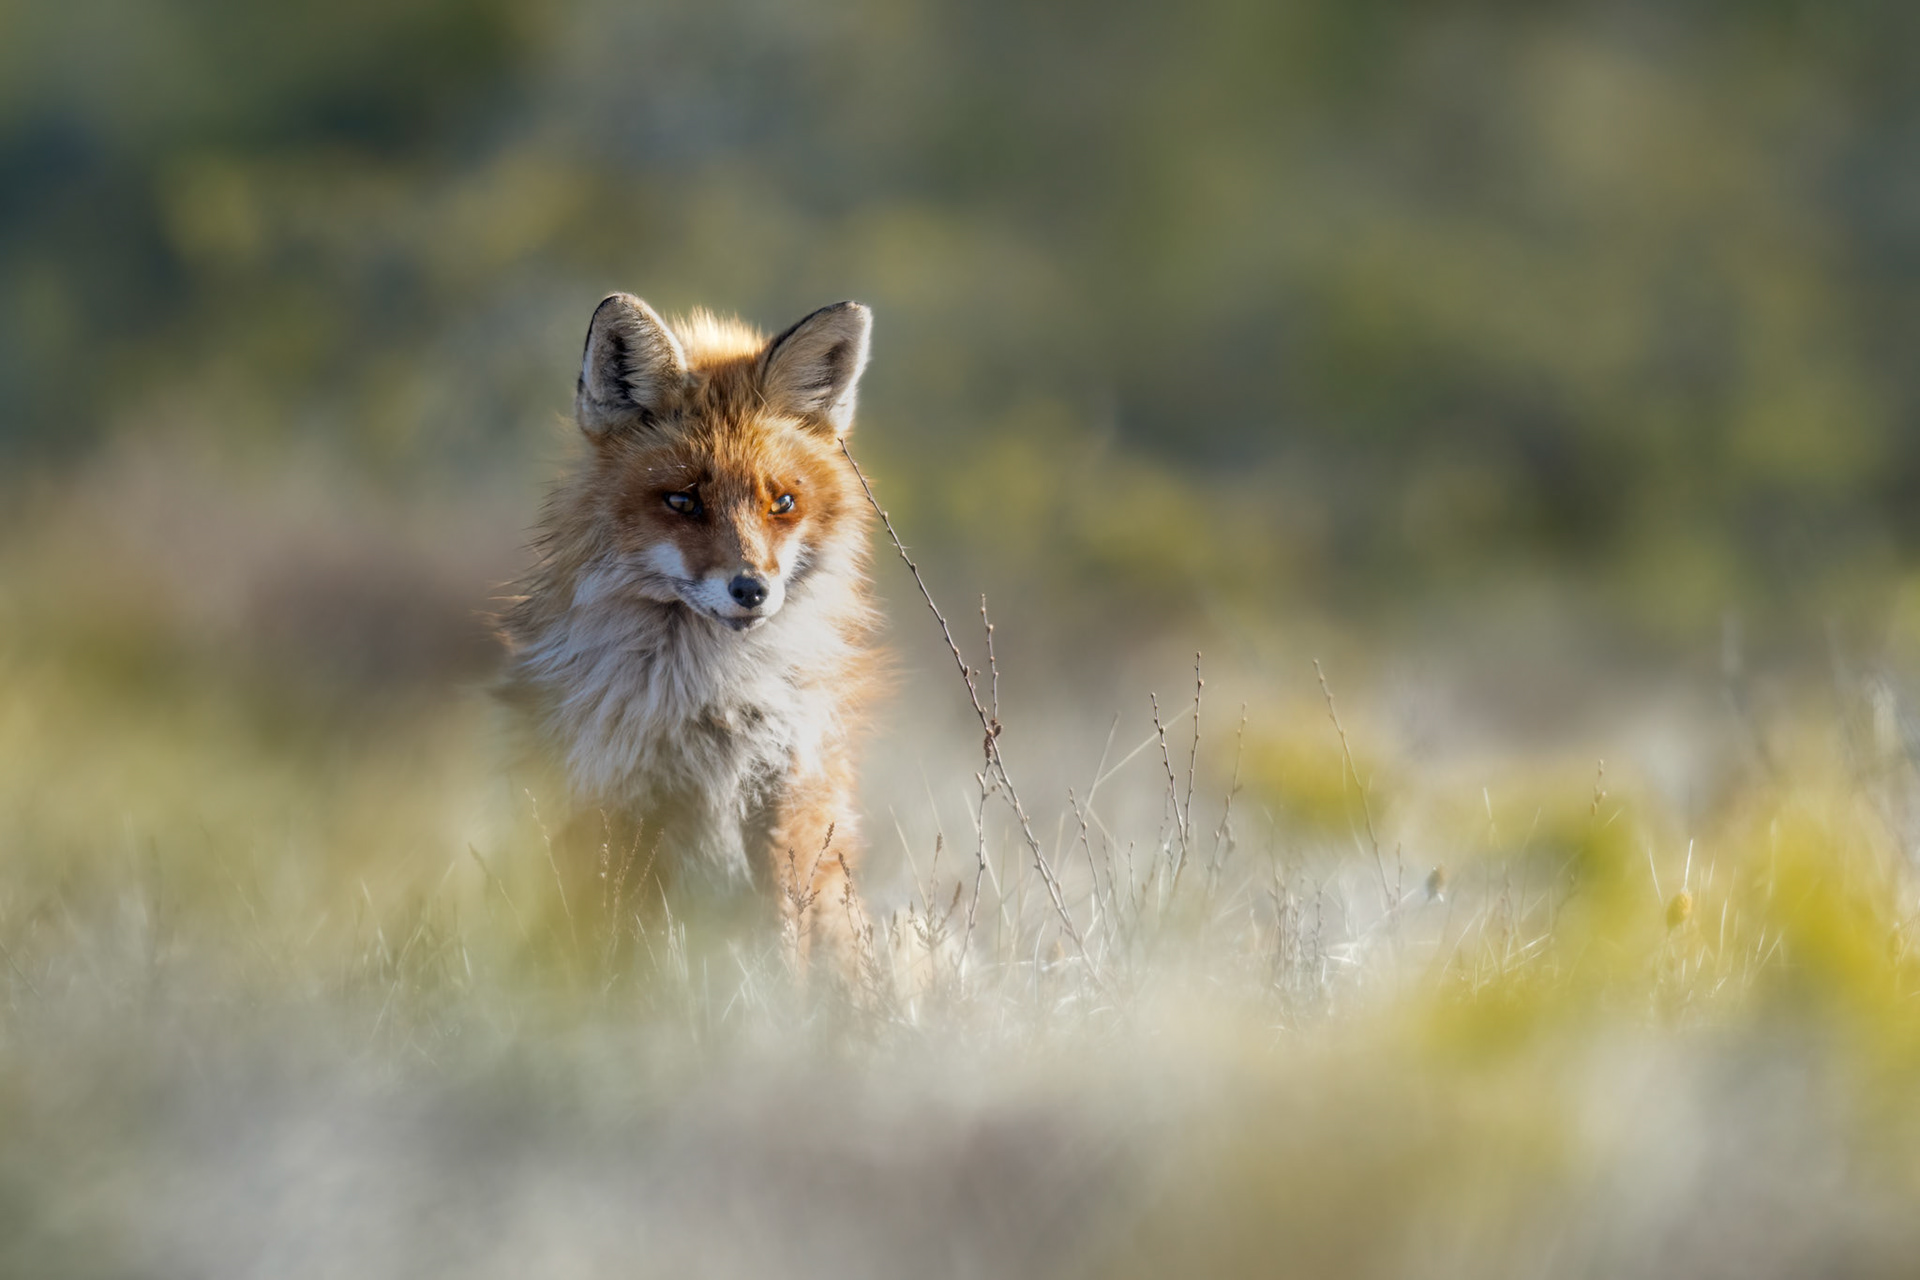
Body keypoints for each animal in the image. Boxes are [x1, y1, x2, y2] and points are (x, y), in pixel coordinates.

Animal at [499, 293, 881, 962]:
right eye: (682, 501)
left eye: (781, 503)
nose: (751, 590)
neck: (711, 699)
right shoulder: (626, 798)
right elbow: (627, 943)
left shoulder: (784, 792)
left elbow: (784, 939)